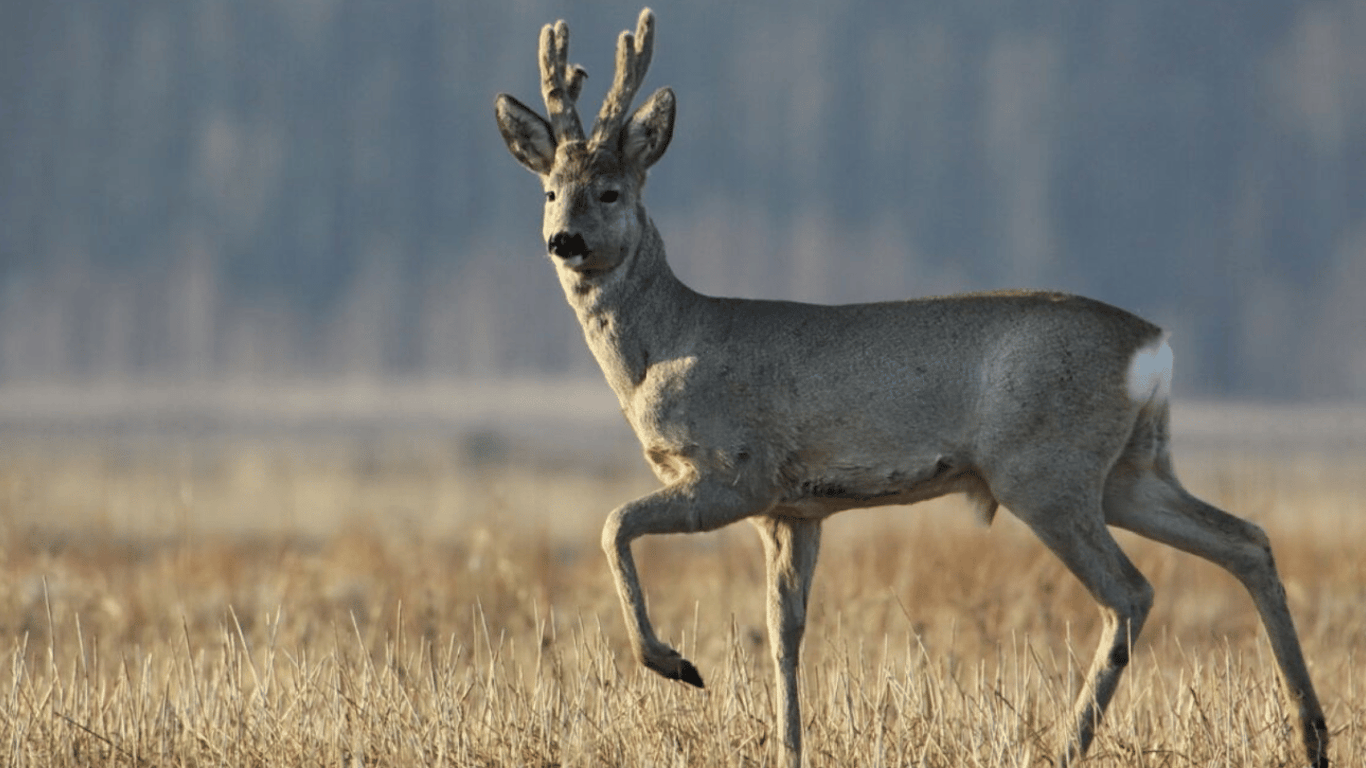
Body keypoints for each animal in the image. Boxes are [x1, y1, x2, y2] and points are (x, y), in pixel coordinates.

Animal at [494, 7, 1322, 765]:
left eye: (608, 191)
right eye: (549, 191)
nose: (563, 241)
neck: (665, 347)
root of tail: (1153, 346)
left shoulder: (737, 471)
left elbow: (613, 524)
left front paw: (674, 664)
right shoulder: (793, 510)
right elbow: (784, 634)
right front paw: (788, 748)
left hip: (1044, 470)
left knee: (1133, 591)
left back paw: (1066, 743)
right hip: (1131, 468)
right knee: (1247, 541)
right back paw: (1310, 733)